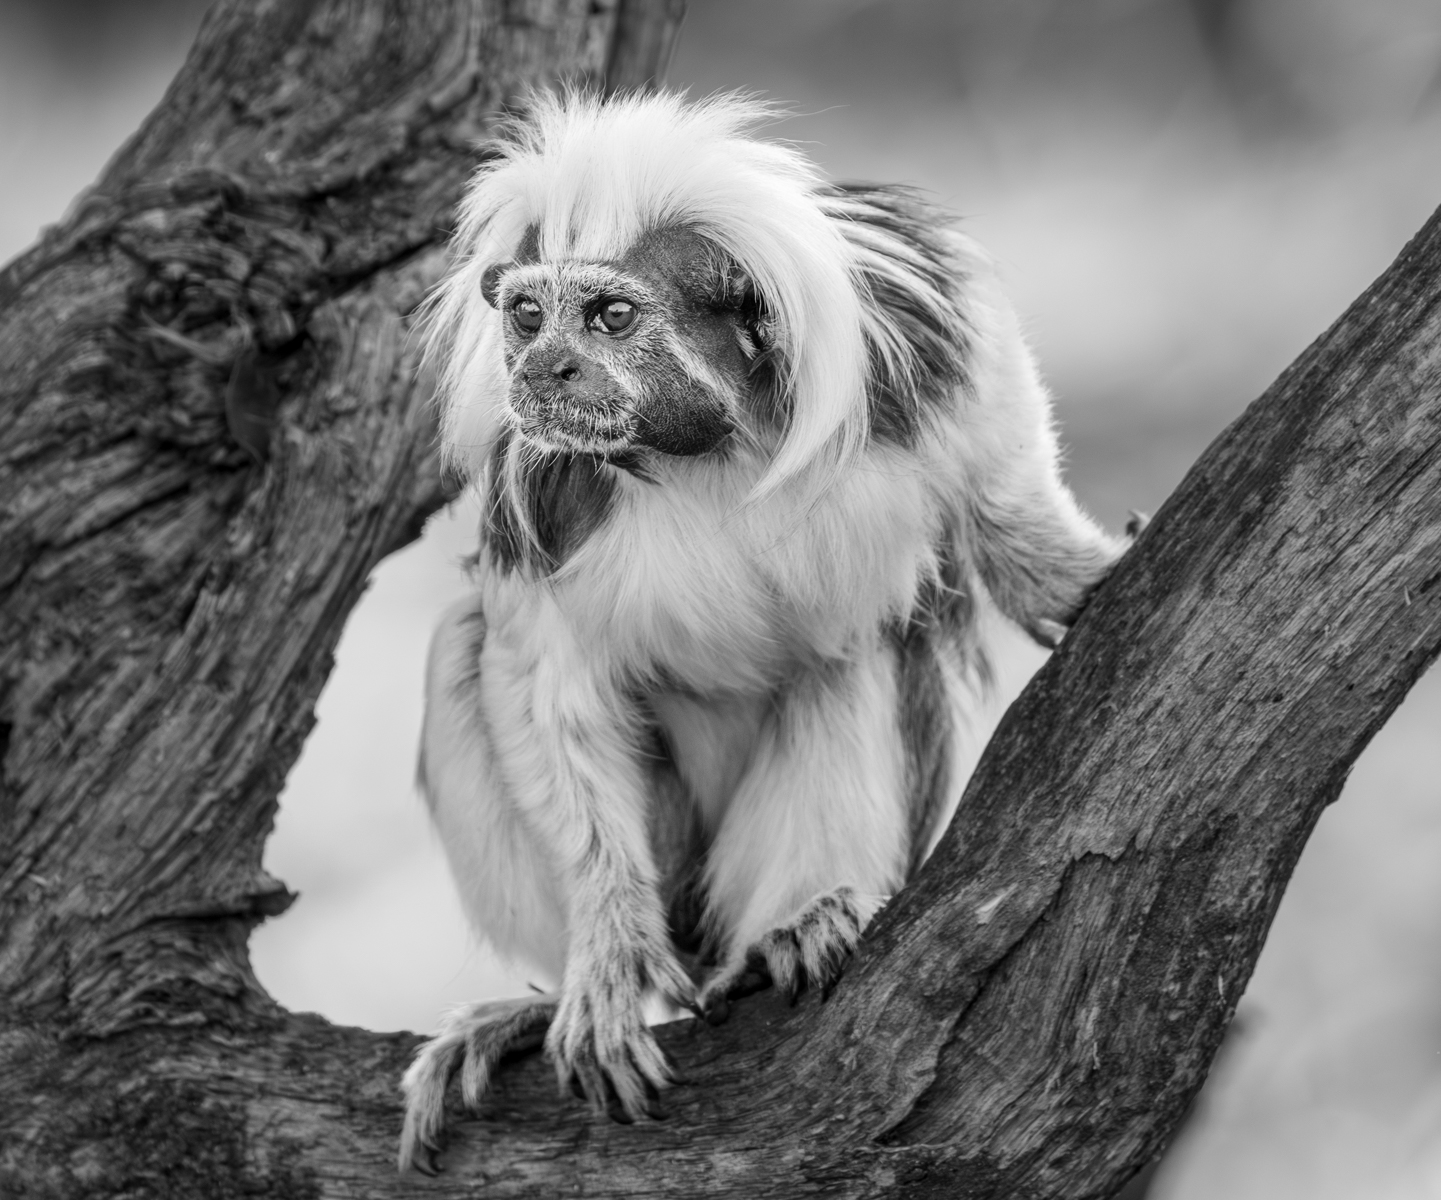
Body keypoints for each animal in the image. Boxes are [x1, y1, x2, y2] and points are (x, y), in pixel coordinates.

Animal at [397, 90, 1132, 1172]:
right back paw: (545, 1006)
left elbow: (995, 472)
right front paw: (606, 957)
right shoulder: (535, 493)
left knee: (861, 655)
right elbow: (545, 684)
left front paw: (1070, 577)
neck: (703, 448)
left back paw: (796, 927)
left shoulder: (911, 346)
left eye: (611, 316)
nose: (542, 366)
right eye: (527, 315)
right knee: (463, 645)